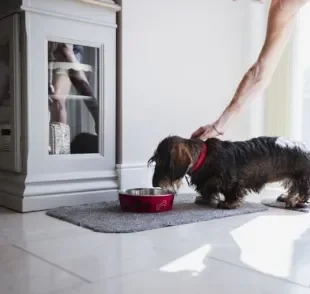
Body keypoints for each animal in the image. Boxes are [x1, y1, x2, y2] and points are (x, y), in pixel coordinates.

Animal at [147, 136, 310, 209]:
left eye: (162, 162)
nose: (154, 184)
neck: (205, 156)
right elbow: (207, 188)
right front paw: (205, 199)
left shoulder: (230, 181)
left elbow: (228, 190)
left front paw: (229, 203)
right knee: (294, 186)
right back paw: (287, 197)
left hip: (303, 176)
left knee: (303, 190)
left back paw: (296, 200)